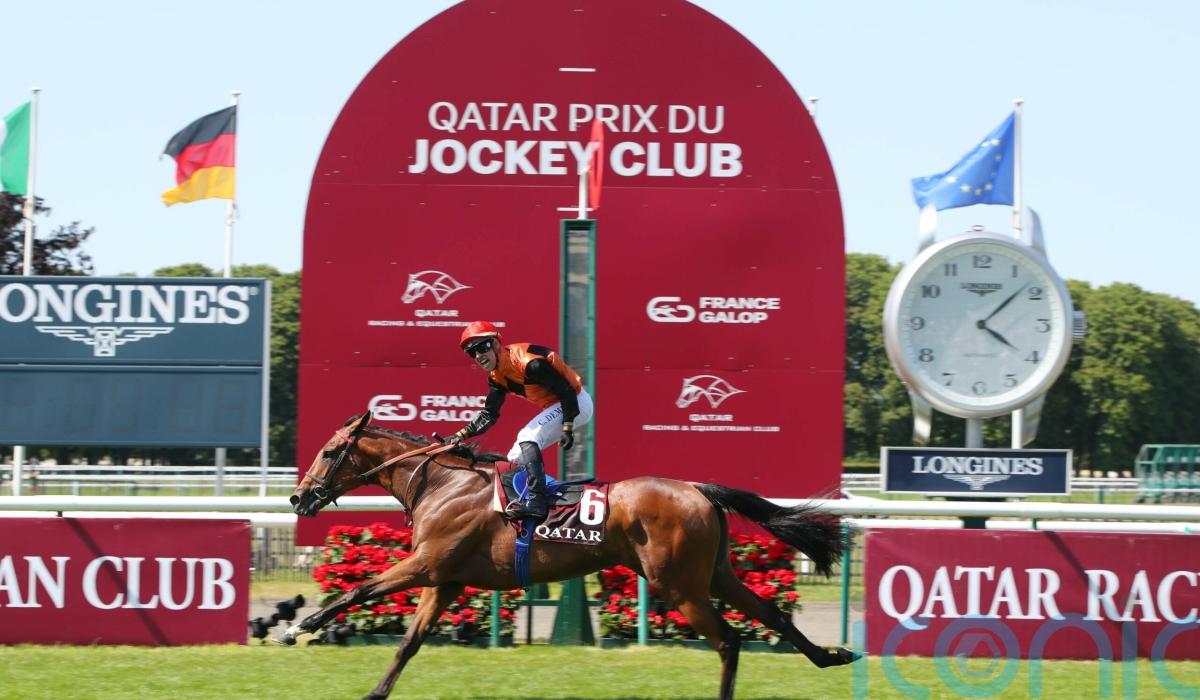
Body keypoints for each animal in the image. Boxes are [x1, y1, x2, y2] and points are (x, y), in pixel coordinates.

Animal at [279, 411, 861, 699]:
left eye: (329, 452)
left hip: (677, 585)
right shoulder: (445, 580)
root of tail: (697, 489)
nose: (298, 498)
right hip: (712, 575)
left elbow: (357, 590)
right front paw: (373, 692)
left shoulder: (426, 564)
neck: (441, 484)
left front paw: (296, 627)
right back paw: (833, 655)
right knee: (770, 614)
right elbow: (408, 644)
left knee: (730, 640)